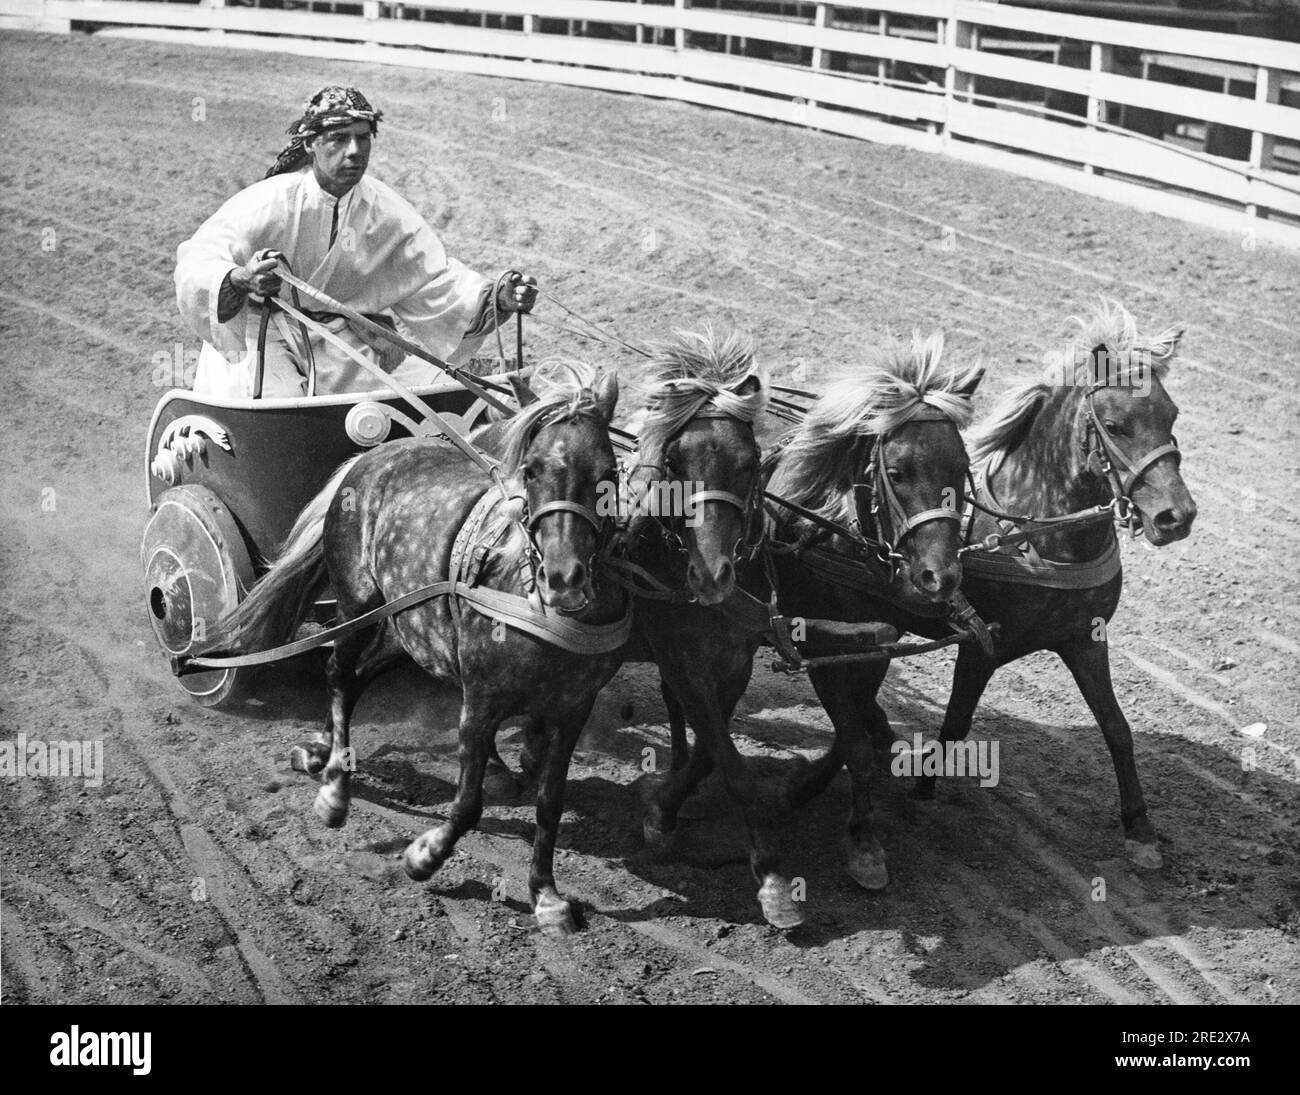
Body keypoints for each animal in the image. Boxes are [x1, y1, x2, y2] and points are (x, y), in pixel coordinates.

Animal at [209, 364, 624, 931]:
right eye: (533, 470)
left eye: (609, 470)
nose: (564, 579)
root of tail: (370, 458)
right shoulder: (481, 699)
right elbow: (468, 803)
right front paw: (423, 856)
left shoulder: (573, 706)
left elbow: (550, 803)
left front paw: (546, 895)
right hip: (357, 606)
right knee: (337, 673)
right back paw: (334, 788)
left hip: (407, 630)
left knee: (356, 679)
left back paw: (320, 753)